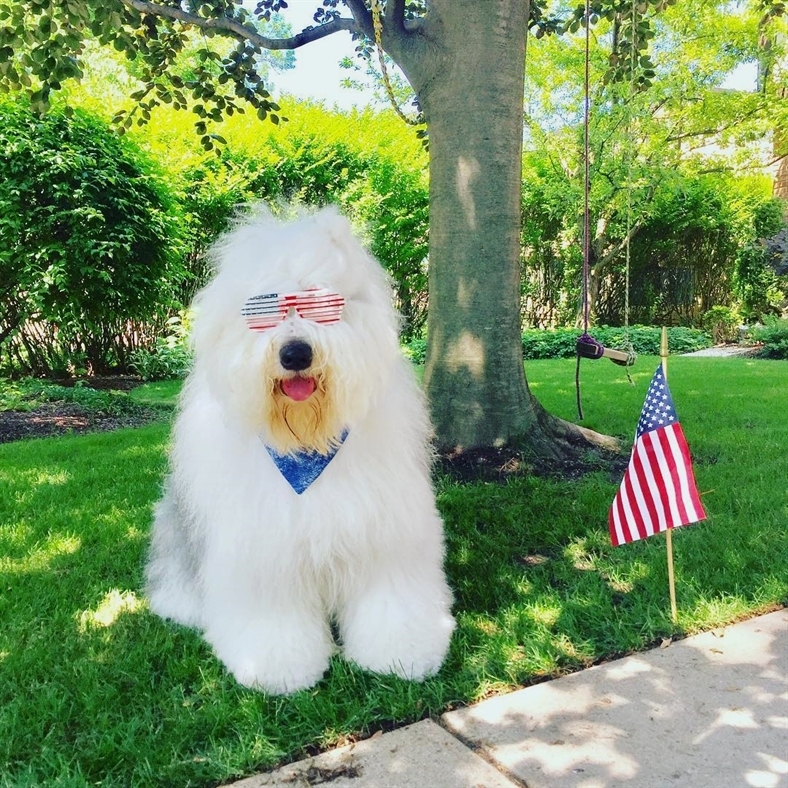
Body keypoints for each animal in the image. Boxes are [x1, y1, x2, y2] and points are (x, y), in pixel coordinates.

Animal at [145, 206, 456, 692]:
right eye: (264, 313)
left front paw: (402, 654)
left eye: (322, 307)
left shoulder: (382, 535)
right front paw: (279, 669)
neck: (306, 444)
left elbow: (391, 600)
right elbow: (273, 618)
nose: (295, 354)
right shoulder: (264, 550)